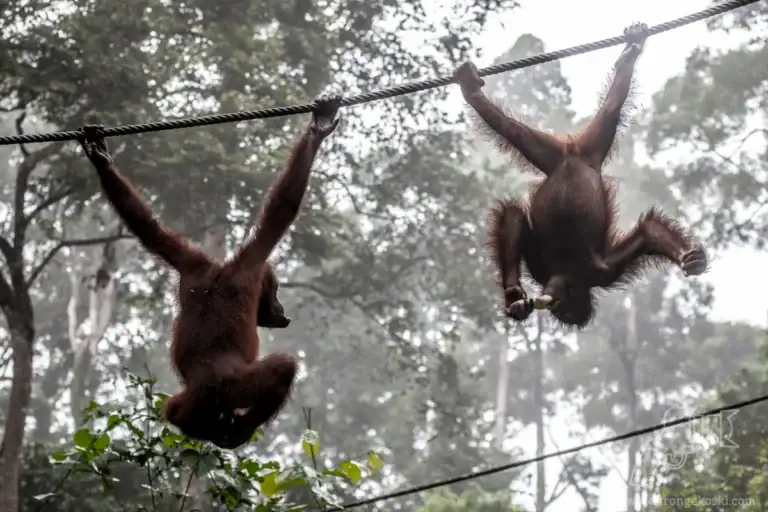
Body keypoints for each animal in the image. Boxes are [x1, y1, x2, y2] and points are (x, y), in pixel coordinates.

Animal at [78, 95, 341, 448]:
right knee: (283, 367)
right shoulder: (251, 263)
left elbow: (150, 229)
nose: (280, 307)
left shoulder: (193, 263)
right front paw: (318, 128)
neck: (223, 271)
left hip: (192, 399)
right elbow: (283, 208)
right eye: (275, 292)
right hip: (235, 386)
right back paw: (239, 431)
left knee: (173, 412)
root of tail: (207, 385)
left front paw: (100, 157)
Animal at [454, 23, 707, 328]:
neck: (568, 269)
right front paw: (516, 298)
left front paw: (689, 260)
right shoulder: (573, 272)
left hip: (558, 153)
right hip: (569, 151)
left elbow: (648, 234)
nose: (549, 302)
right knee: (603, 111)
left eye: (563, 309)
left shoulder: (599, 271)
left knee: (525, 130)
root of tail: (573, 152)